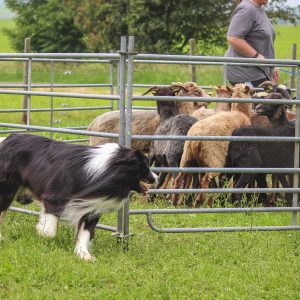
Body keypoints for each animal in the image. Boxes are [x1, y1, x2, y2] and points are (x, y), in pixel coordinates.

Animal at [0, 134, 158, 260]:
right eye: (145, 166)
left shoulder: (91, 207)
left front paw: (84, 255)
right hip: (7, 189)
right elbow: (50, 231)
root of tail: (8, 139)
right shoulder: (53, 198)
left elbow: (85, 233)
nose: (156, 178)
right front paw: (41, 231)